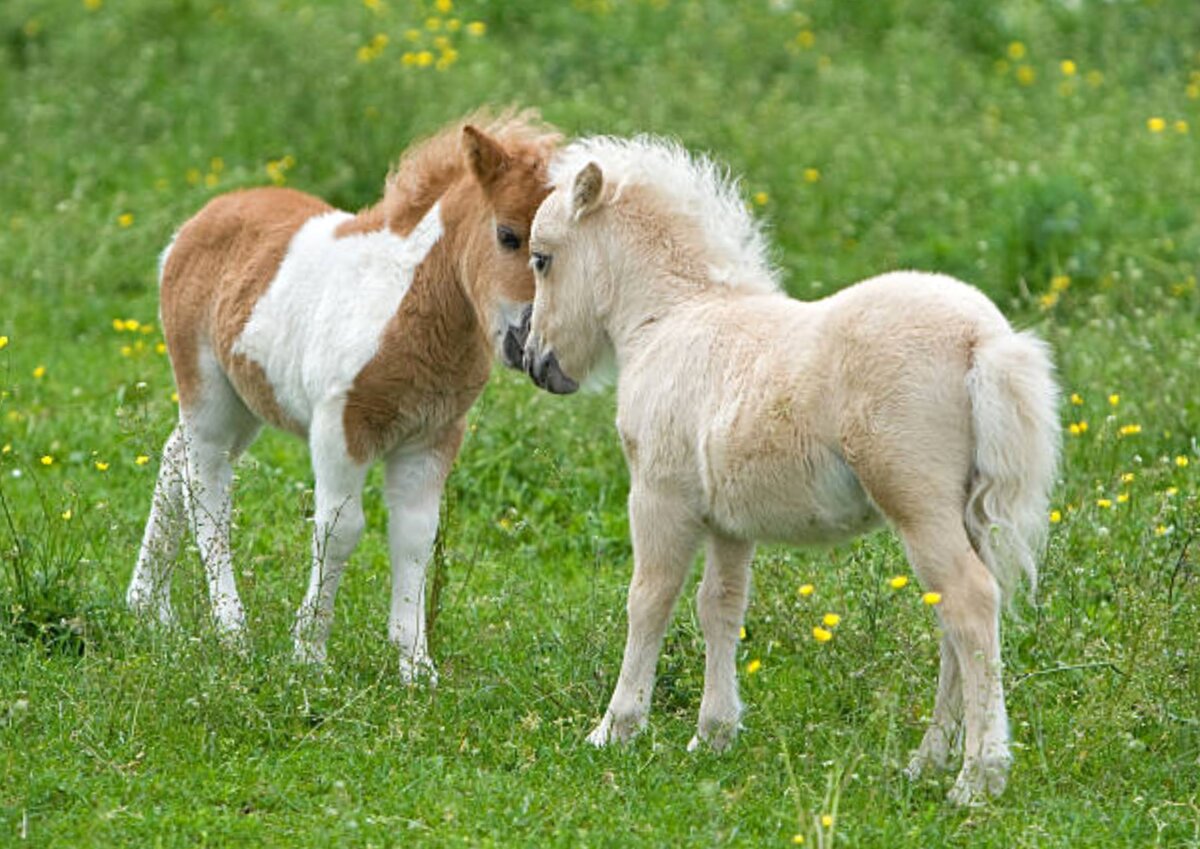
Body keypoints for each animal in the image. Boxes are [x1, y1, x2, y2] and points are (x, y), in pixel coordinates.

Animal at [129, 110, 559, 681]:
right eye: (508, 235)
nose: (529, 344)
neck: (409, 305)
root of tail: (192, 226)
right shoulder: (340, 426)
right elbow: (341, 529)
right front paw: (309, 653)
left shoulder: (433, 437)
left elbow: (416, 537)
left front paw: (416, 666)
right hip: (207, 391)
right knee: (207, 487)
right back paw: (231, 630)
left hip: (246, 402)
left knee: (174, 457)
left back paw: (148, 608)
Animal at [525, 136, 1060, 805]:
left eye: (541, 258)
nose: (535, 362)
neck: (673, 318)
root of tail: (983, 339)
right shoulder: (728, 521)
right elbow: (720, 607)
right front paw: (713, 734)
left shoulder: (658, 495)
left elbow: (649, 599)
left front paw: (615, 729)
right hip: (963, 511)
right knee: (955, 623)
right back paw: (926, 761)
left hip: (917, 501)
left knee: (969, 601)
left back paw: (976, 777)